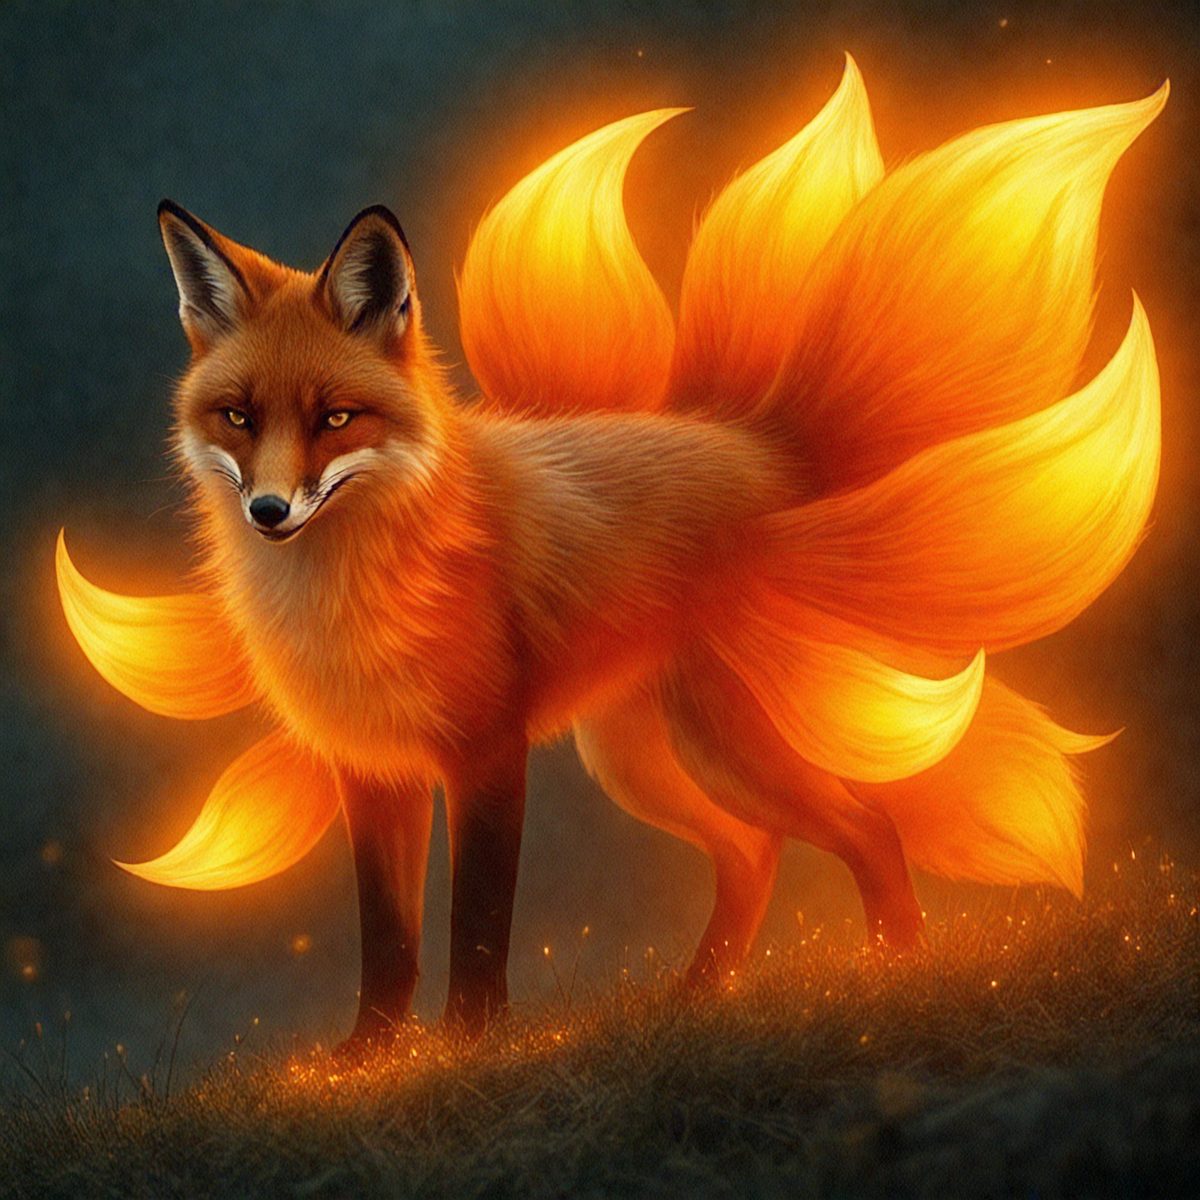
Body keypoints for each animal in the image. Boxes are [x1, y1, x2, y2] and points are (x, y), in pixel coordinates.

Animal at [57, 58, 1165, 1049]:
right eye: (239, 417)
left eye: (335, 417)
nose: (270, 511)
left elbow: (476, 922)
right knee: (753, 854)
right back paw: (699, 1001)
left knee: (865, 828)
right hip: (641, 758)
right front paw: (368, 1061)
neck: (347, 594)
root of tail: (756, 449)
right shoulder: (372, 773)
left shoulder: (486, 753)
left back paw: (897, 971)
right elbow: (387, 942)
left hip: (725, 744)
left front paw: (473, 1044)